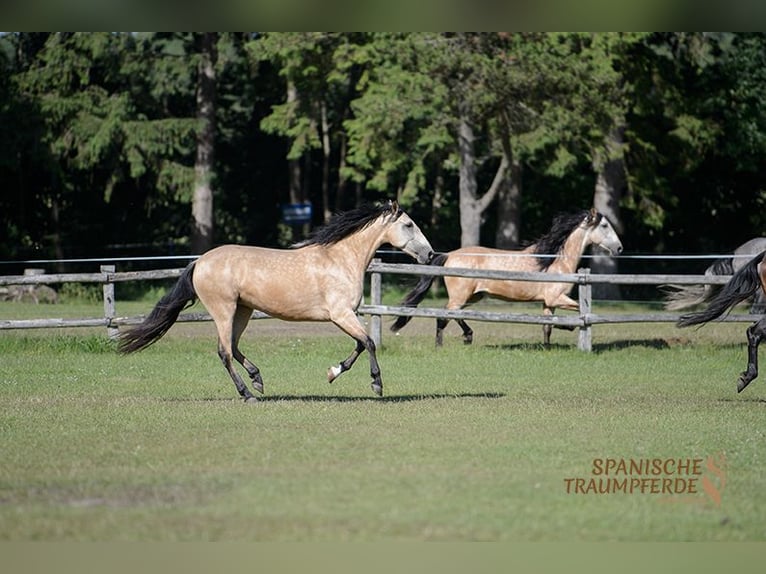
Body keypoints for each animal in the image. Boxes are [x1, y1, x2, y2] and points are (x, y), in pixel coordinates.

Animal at [119, 201, 434, 401]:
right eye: (409, 224)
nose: (430, 254)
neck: (341, 259)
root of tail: (199, 262)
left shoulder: (345, 316)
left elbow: (359, 344)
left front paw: (332, 373)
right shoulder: (340, 314)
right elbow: (368, 342)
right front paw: (376, 385)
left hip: (243, 310)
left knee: (233, 347)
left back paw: (257, 380)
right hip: (224, 310)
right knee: (224, 352)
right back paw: (247, 394)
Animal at [390, 208, 623, 346]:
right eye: (604, 226)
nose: (619, 248)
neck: (555, 260)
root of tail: (449, 255)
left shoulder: (548, 302)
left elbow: (547, 325)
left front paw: (547, 346)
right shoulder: (557, 298)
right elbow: (578, 312)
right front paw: (569, 326)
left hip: (472, 297)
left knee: (450, 315)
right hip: (460, 297)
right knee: (444, 315)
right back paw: (454, 341)